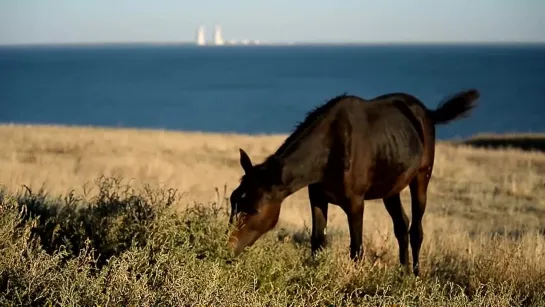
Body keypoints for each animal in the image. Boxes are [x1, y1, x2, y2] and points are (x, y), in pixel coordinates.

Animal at [227, 89, 478, 276]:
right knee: (401, 225)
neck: (330, 148)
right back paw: (403, 273)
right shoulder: (317, 197)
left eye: (254, 209)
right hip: (391, 187)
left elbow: (356, 249)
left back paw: (415, 276)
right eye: (233, 201)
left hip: (421, 177)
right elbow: (317, 242)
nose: (227, 249)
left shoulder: (355, 203)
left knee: (416, 229)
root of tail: (426, 112)